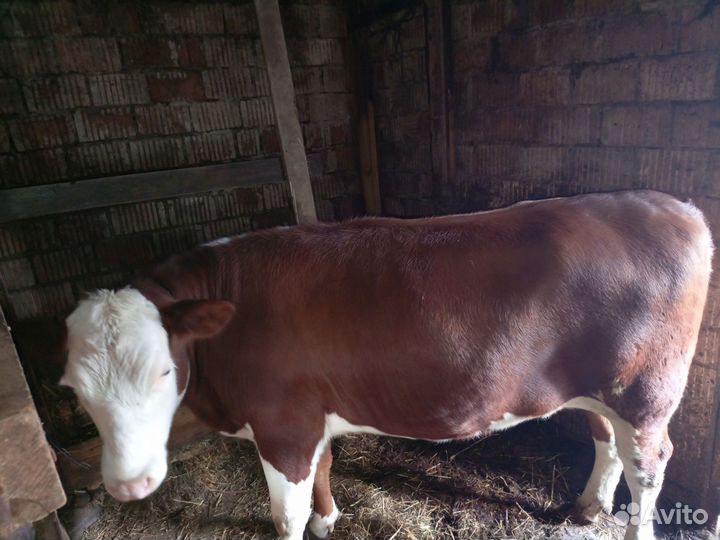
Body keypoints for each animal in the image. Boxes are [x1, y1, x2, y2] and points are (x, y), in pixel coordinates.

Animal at [60, 190, 713, 540]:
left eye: (163, 372)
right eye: (74, 392)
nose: (128, 484)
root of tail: (675, 207)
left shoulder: (283, 424)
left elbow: (284, 511)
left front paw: (307, 522)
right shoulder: (311, 413)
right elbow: (324, 471)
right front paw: (328, 520)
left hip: (646, 391)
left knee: (649, 466)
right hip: (600, 386)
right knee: (605, 440)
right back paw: (586, 508)